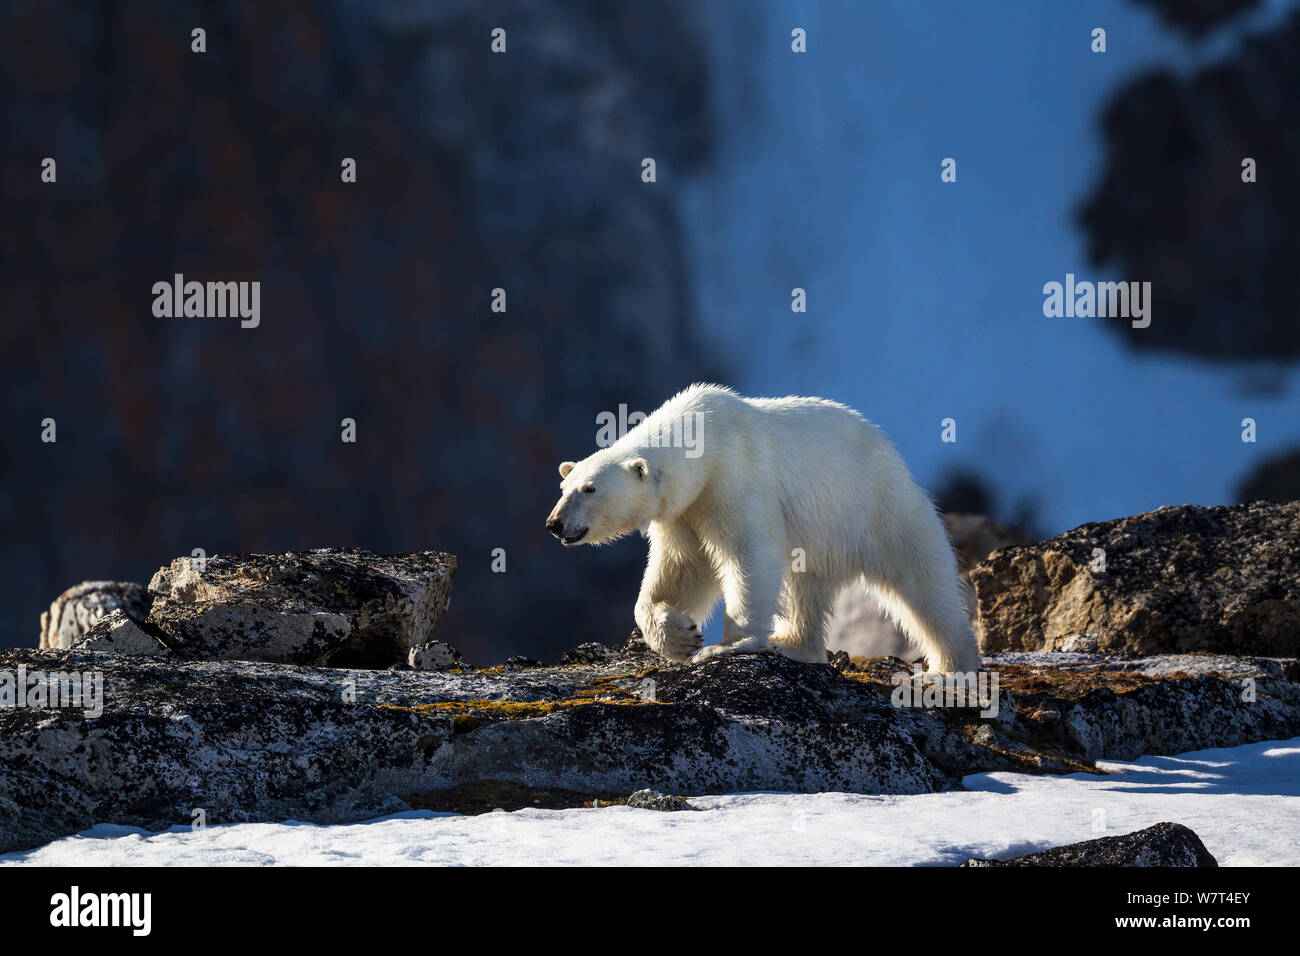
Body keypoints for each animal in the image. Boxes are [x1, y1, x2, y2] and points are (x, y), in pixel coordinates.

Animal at [545, 384, 980, 673]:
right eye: (565, 487)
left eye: (590, 488)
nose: (554, 523)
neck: (701, 439)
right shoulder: (684, 510)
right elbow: (682, 568)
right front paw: (680, 635)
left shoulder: (732, 477)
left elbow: (748, 552)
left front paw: (726, 645)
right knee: (808, 585)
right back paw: (794, 644)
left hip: (882, 511)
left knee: (925, 586)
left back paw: (952, 667)